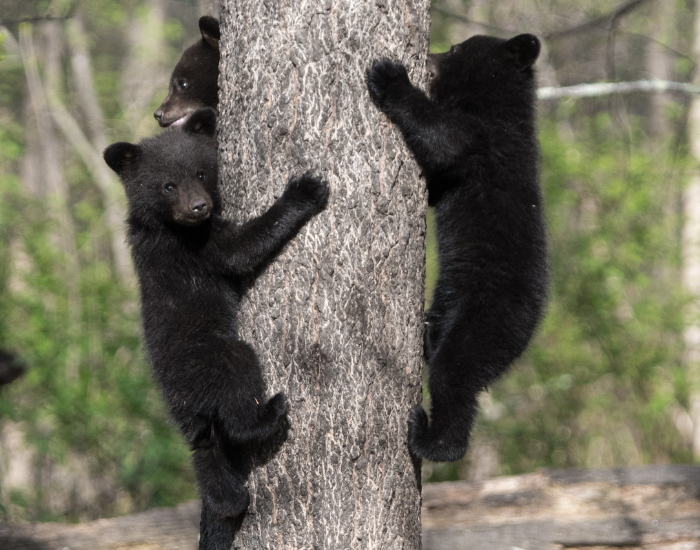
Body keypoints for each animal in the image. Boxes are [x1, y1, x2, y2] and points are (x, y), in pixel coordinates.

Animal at [104, 109, 329, 525]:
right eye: (168, 185)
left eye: (201, 173)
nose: (198, 207)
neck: (165, 225)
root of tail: (188, 410)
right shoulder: (196, 246)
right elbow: (241, 248)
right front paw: (304, 190)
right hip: (214, 358)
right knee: (238, 392)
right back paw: (267, 415)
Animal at [366, 34, 549, 463]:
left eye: (453, 50)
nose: (430, 54)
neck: (499, 106)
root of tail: (533, 327)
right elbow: (435, 180)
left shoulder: (481, 136)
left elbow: (444, 138)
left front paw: (390, 76)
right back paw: (427, 334)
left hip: (489, 319)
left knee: (455, 376)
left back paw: (432, 440)